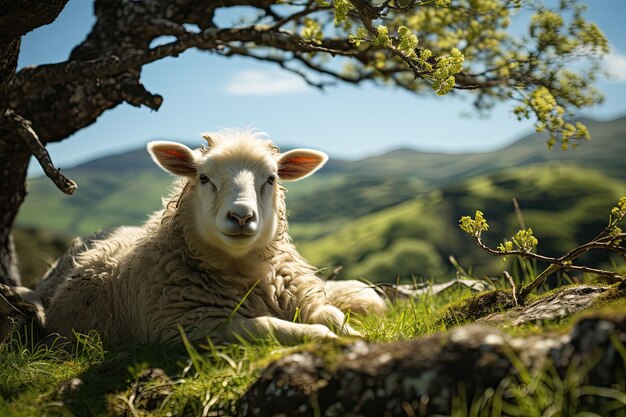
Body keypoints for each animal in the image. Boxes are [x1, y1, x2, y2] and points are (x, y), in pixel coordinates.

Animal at [37, 130, 380, 348]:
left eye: (271, 178)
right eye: (203, 178)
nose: (241, 216)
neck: (244, 271)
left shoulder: (303, 297)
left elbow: (332, 315)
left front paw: (356, 335)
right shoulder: (193, 326)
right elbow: (268, 325)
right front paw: (327, 339)